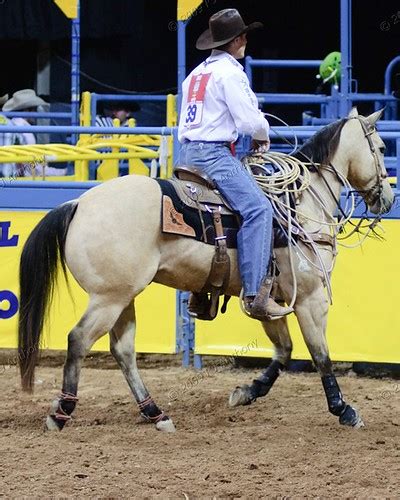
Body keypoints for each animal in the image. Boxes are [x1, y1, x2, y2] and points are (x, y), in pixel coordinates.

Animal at [18, 107, 394, 432]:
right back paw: (61, 413)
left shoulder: (269, 301)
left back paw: (156, 413)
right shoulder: (309, 299)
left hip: (123, 297)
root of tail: (77, 203)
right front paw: (344, 409)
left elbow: (284, 351)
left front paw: (246, 392)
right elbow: (321, 355)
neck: (300, 204)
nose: (387, 199)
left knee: (123, 351)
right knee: (79, 339)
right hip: (108, 298)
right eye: (380, 147)